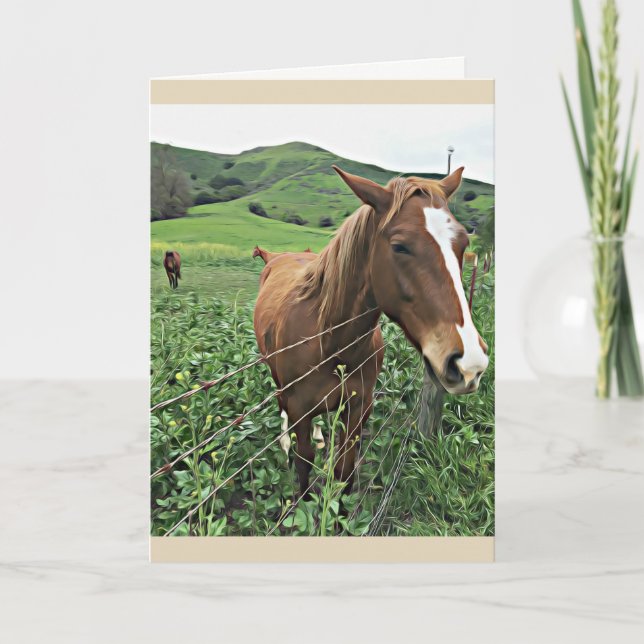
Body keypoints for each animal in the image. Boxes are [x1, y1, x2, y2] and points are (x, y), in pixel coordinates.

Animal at [253, 165, 488, 496]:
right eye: (399, 246)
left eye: (463, 245)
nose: (469, 363)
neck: (330, 341)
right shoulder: (300, 409)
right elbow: (303, 463)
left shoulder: (357, 406)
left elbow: (344, 470)